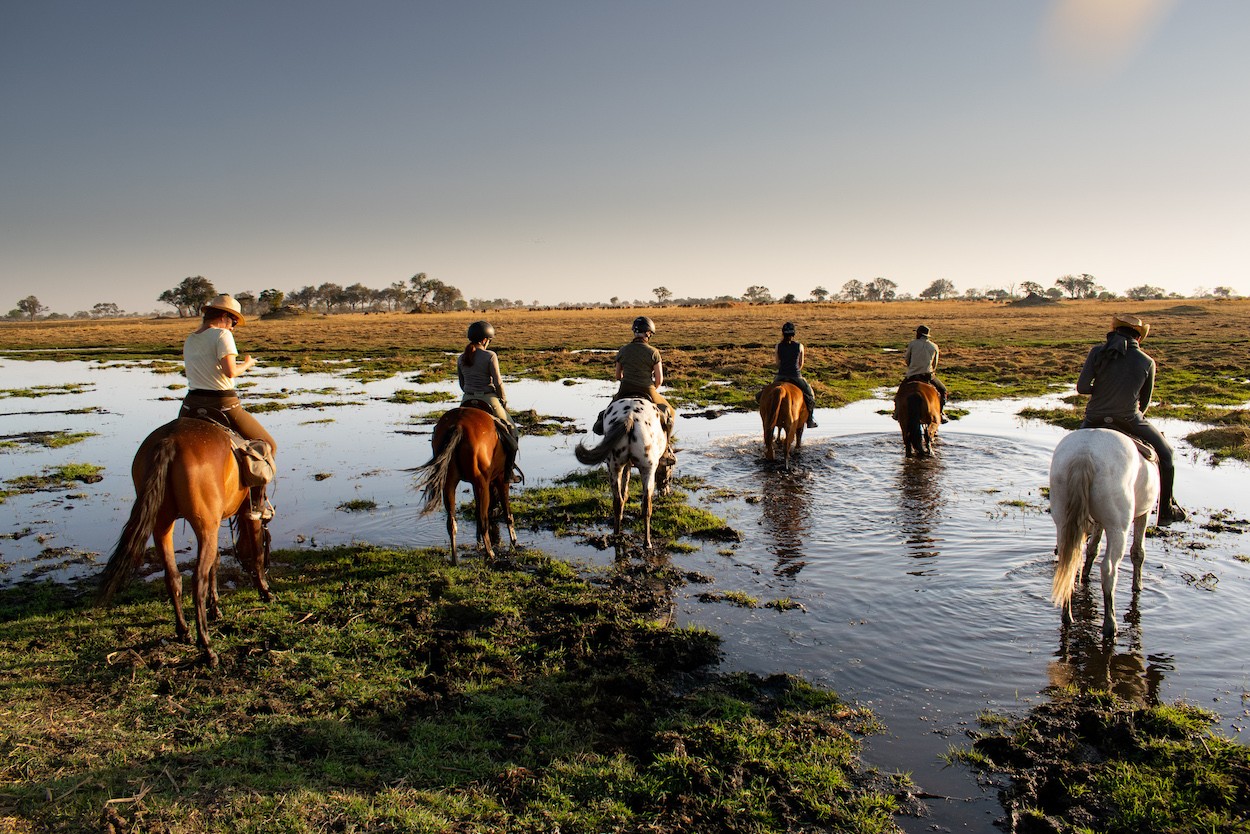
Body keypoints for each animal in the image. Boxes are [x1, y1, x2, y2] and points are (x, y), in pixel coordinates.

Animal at [96, 420, 273, 670]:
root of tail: (170, 441)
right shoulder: (244, 515)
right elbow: (254, 553)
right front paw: (265, 591)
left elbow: (215, 564)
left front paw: (215, 608)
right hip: (204, 526)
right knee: (197, 580)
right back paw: (207, 648)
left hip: (163, 525)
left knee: (173, 577)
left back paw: (183, 631)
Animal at [412, 405, 515, 565]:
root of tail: (458, 425)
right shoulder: (500, 479)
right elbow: (506, 512)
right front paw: (514, 541)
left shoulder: (476, 485)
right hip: (481, 483)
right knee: (483, 520)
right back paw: (491, 554)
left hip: (449, 483)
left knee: (451, 523)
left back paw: (455, 559)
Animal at [572, 400, 675, 550]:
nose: (666, 491)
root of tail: (630, 417)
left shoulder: (625, 464)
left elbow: (625, 482)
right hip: (648, 468)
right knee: (646, 506)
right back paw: (647, 542)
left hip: (614, 467)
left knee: (617, 502)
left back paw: (617, 534)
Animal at [1045, 430, 1160, 640]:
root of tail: (1084, 454)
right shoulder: (1144, 513)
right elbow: (1138, 552)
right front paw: (1137, 586)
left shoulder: (1096, 523)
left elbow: (1093, 549)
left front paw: (1086, 575)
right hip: (1117, 528)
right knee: (1109, 570)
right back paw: (1110, 625)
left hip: (1063, 522)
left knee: (1069, 563)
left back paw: (1068, 616)